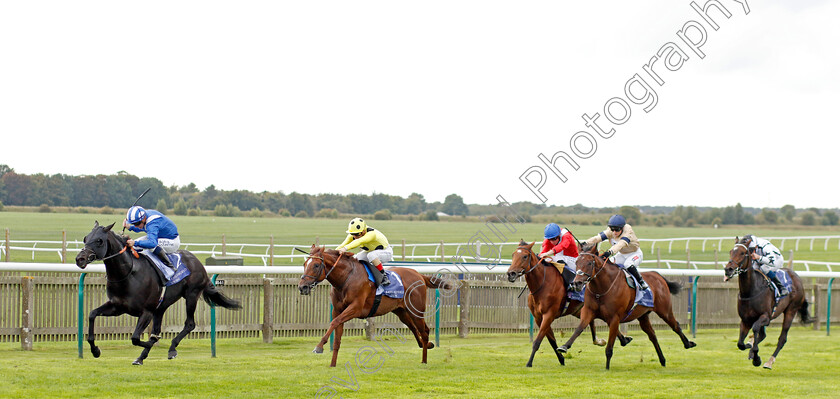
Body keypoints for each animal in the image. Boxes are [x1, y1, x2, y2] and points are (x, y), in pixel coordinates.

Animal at [74, 222, 241, 366]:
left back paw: (172, 349)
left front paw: (150, 343)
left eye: (99, 241)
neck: (128, 273)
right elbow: (92, 314)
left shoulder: (146, 311)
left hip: (191, 295)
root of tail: (198, 262)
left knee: (190, 324)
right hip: (161, 307)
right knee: (158, 328)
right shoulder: (117, 307)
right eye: (85, 238)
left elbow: (136, 338)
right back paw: (141, 357)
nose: (80, 259)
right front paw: (95, 350)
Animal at [296, 245, 450, 368]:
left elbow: (334, 322)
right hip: (401, 311)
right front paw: (332, 364)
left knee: (424, 331)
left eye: (316, 265)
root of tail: (419, 275)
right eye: (304, 264)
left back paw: (424, 359)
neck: (346, 278)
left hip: (415, 310)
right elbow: (337, 336)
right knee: (413, 328)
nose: (302, 287)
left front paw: (319, 347)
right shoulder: (338, 310)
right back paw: (427, 345)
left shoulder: (355, 309)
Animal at [556, 245, 696, 370]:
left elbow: (610, 346)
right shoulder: (588, 311)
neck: (601, 288)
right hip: (643, 316)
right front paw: (564, 346)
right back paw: (662, 360)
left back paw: (688, 343)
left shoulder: (614, 318)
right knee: (652, 335)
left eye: (590, 263)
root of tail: (658, 276)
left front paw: (607, 367)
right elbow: (579, 328)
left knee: (676, 326)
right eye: (577, 262)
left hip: (664, 311)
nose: (577, 283)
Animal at [724, 236, 812, 370]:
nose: (728, 269)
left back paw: (769, 362)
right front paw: (750, 347)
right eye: (730, 251)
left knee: (782, 338)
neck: (751, 291)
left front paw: (756, 357)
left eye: (743, 253)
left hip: (791, 311)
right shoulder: (745, 320)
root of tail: (796, 277)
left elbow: (755, 328)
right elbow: (740, 343)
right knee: (762, 335)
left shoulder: (765, 316)